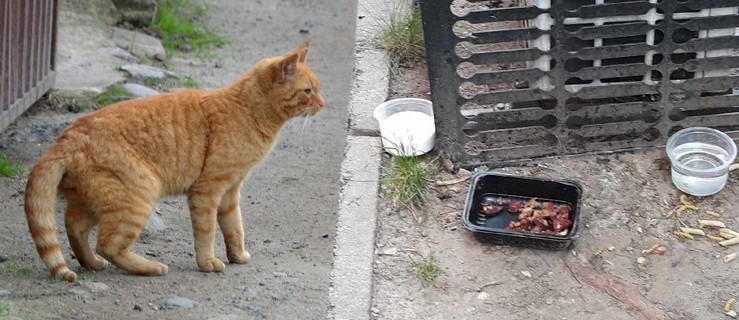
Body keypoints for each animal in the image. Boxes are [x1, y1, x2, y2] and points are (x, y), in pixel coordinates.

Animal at [23, 41, 324, 282]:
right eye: (308, 91)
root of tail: (65, 137)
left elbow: (234, 228)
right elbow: (207, 232)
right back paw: (151, 267)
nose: (323, 104)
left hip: (94, 200)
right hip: (140, 193)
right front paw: (208, 263)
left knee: (74, 227)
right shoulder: (207, 190)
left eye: (317, 90)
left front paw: (237, 256)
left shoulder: (230, 191)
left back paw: (92, 264)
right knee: (107, 243)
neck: (248, 111)